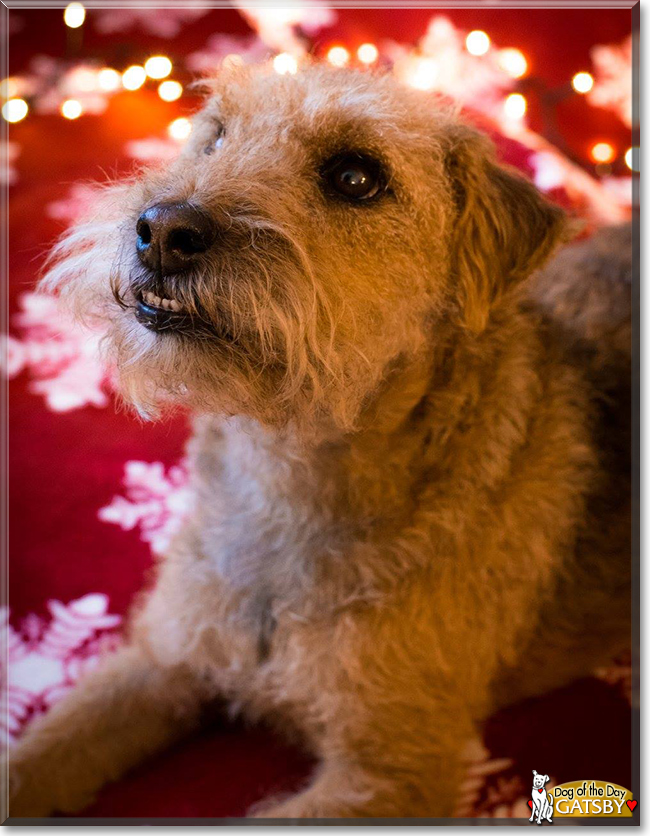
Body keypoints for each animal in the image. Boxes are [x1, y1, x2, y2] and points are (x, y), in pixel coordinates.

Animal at [8, 63, 628, 816]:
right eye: (214, 136)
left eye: (356, 178)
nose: (162, 228)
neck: (286, 469)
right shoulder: (162, 661)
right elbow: (35, 758)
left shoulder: (388, 775)